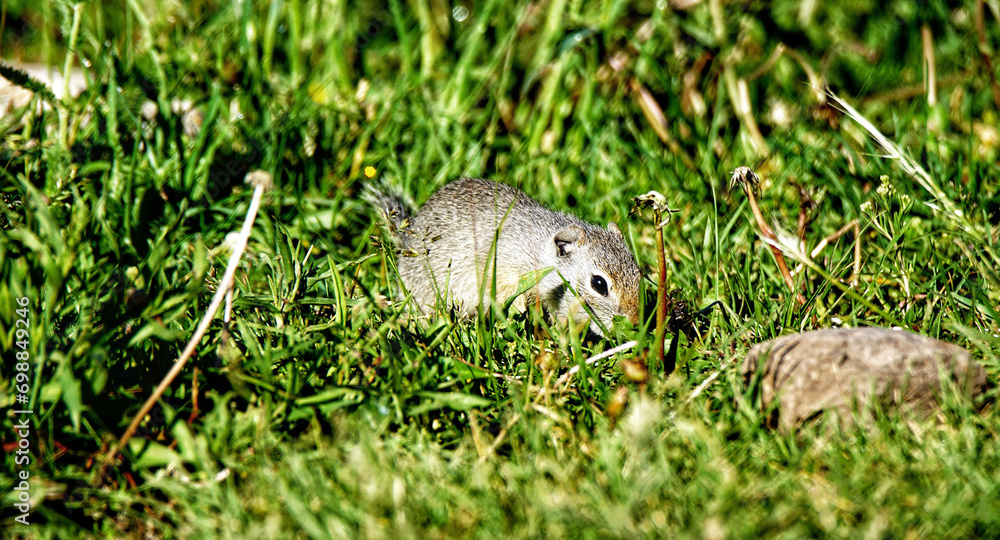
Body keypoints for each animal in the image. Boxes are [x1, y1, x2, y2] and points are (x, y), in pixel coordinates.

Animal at [367, 178, 641, 337]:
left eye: (640, 274)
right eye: (599, 284)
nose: (636, 323)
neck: (535, 250)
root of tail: (406, 243)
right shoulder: (503, 272)